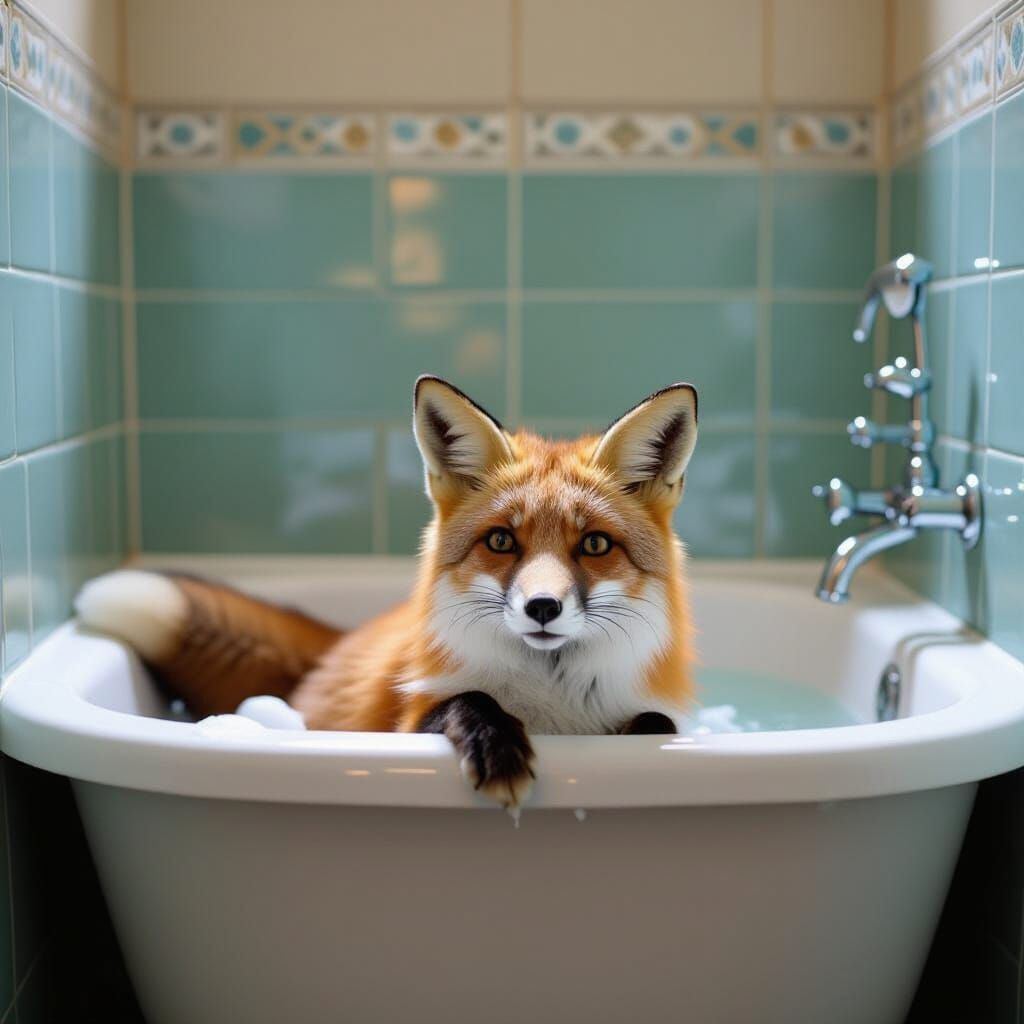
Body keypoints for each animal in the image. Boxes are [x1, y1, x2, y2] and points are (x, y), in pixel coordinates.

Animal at [75, 375, 699, 810]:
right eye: (502, 540)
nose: (542, 607)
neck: (550, 703)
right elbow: (467, 699)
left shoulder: (649, 715)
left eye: (594, 544)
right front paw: (497, 744)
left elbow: (657, 725)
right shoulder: (407, 724)